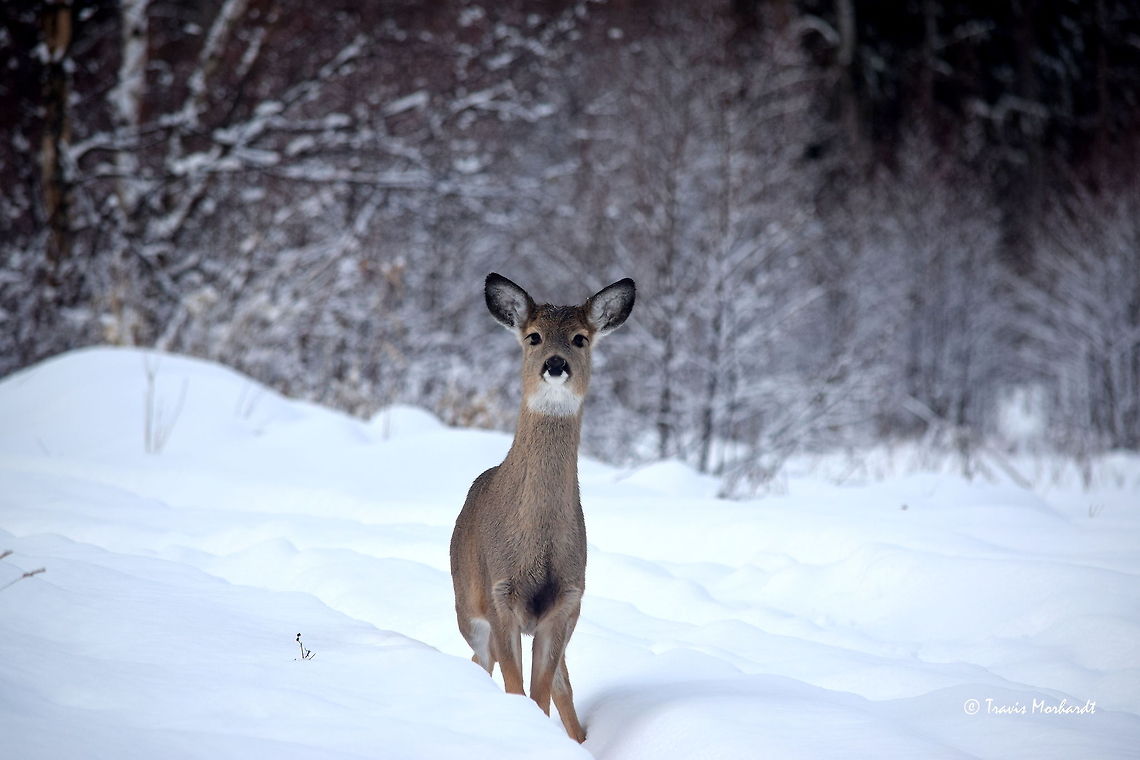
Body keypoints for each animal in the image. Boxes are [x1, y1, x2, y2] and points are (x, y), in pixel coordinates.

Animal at [450, 273, 636, 743]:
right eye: (533, 336)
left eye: (580, 338)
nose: (555, 363)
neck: (538, 539)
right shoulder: (500, 594)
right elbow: (517, 688)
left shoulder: (566, 602)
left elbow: (542, 691)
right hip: (466, 607)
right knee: (480, 662)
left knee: (562, 685)